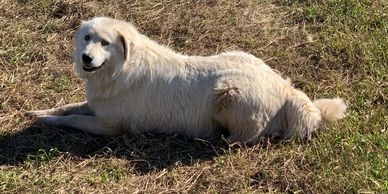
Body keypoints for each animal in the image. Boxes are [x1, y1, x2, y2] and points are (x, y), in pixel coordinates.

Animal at [28, 17, 348, 144]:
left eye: (105, 43)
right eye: (86, 38)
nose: (86, 58)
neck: (119, 69)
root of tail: (287, 89)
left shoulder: (111, 127)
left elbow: (73, 119)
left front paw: (48, 121)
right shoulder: (97, 104)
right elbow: (68, 107)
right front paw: (39, 112)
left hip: (228, 94)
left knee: (249, 137)